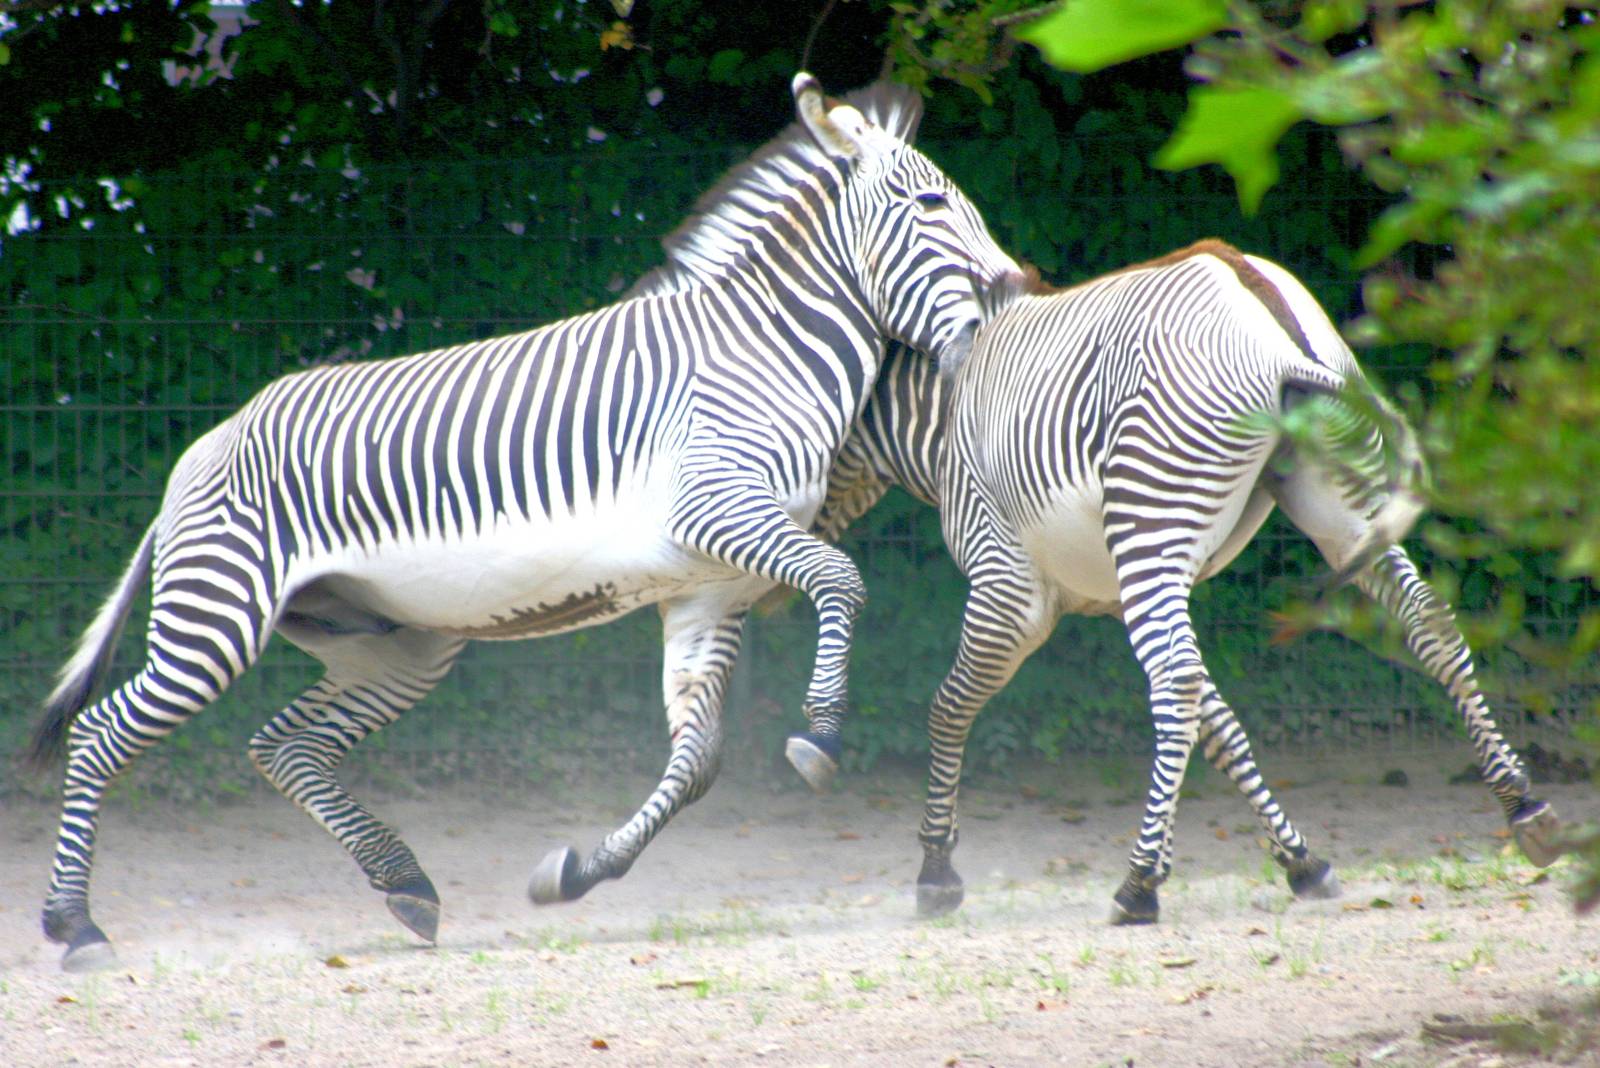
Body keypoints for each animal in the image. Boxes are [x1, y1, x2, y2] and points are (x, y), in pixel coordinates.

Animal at [24, 73, 1023, 972]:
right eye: (933, 202)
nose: (1016, 289)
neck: (767, 349)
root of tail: (203, 447)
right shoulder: (717, 511)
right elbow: (843, 579)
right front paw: (821, 732)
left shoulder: (710, 586)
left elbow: (697, 761)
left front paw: (579, 872)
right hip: (220, 616)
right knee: (103, 733)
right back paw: (77, 926)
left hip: (394, 643)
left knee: (285, 745)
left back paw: (406, 887)